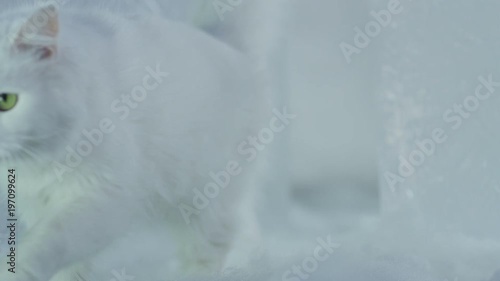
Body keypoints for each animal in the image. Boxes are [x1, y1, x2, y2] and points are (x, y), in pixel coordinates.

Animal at [0, 1, 288, 278]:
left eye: (6, 100)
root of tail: (228, 44)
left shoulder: (103, 195)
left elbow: (44, 244)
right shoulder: (35, 203)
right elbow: (71, 266)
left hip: (208, 199)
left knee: (211, 249)